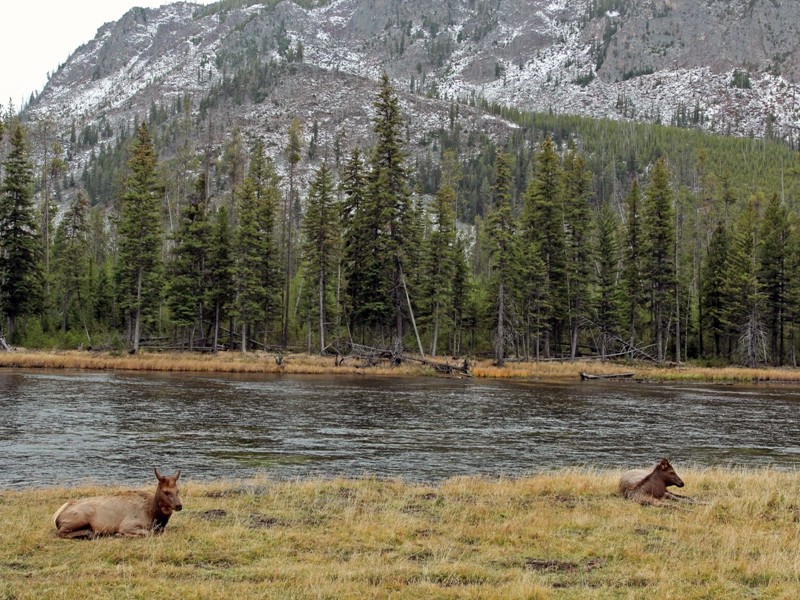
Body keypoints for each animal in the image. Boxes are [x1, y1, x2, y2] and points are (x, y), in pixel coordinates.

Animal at [54, 468, 184, 540]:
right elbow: (147, 533)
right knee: (59, 532)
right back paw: (90, 534)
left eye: (177, 490)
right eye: (166, 492)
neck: (154, 516)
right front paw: (118, 534)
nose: (179, 505)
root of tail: (56, 517)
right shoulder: (128, 524)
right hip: (79, 517)